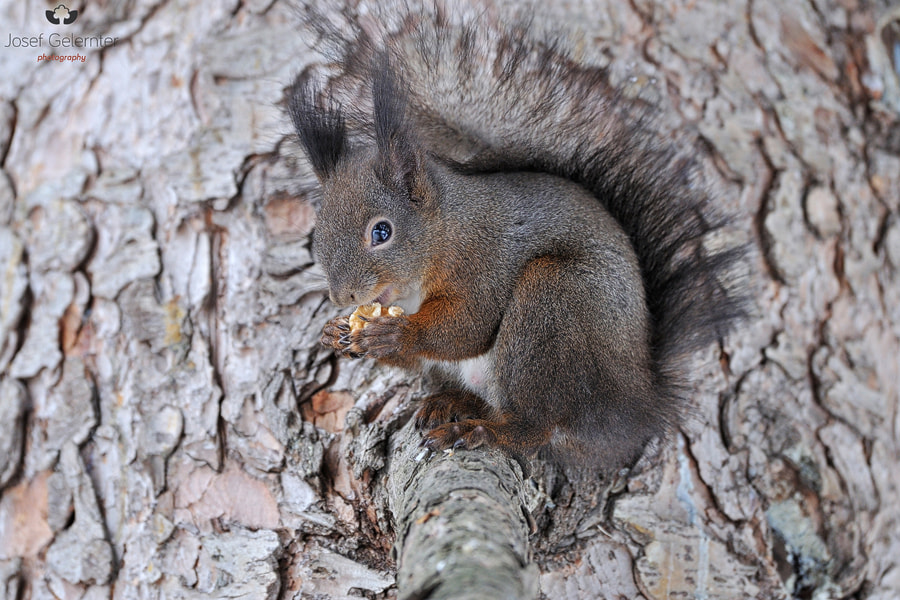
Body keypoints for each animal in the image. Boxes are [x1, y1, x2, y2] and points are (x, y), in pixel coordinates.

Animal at [288, 6, 748, 470]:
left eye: (381, 232)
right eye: (317, 233)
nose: (342, 297)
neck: (445, 230)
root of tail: (633, 408)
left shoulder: (485, 258)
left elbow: (468, 325)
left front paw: (395, 334)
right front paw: (333, 333)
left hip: (552, 304)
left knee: (533, 428)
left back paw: (479, 432)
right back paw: (455, 403)